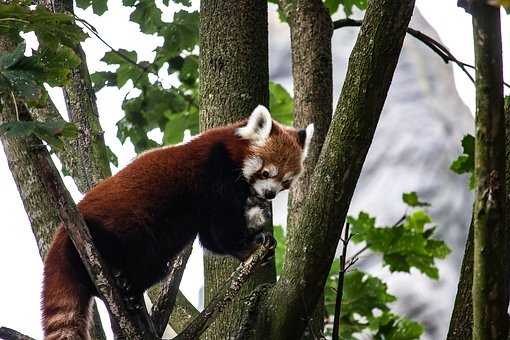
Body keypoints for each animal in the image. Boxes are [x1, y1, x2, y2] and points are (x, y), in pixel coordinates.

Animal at [41, 105, 312, 338]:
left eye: (286, 181)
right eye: (266, 172)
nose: (270, 194)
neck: (229, 150)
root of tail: (60, 237)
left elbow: (212, 239)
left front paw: (257, 232)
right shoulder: (216, 176)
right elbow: (222, 232)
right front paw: (249, 244)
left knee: (157, 266)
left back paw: (130, 289)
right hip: (107, 232)